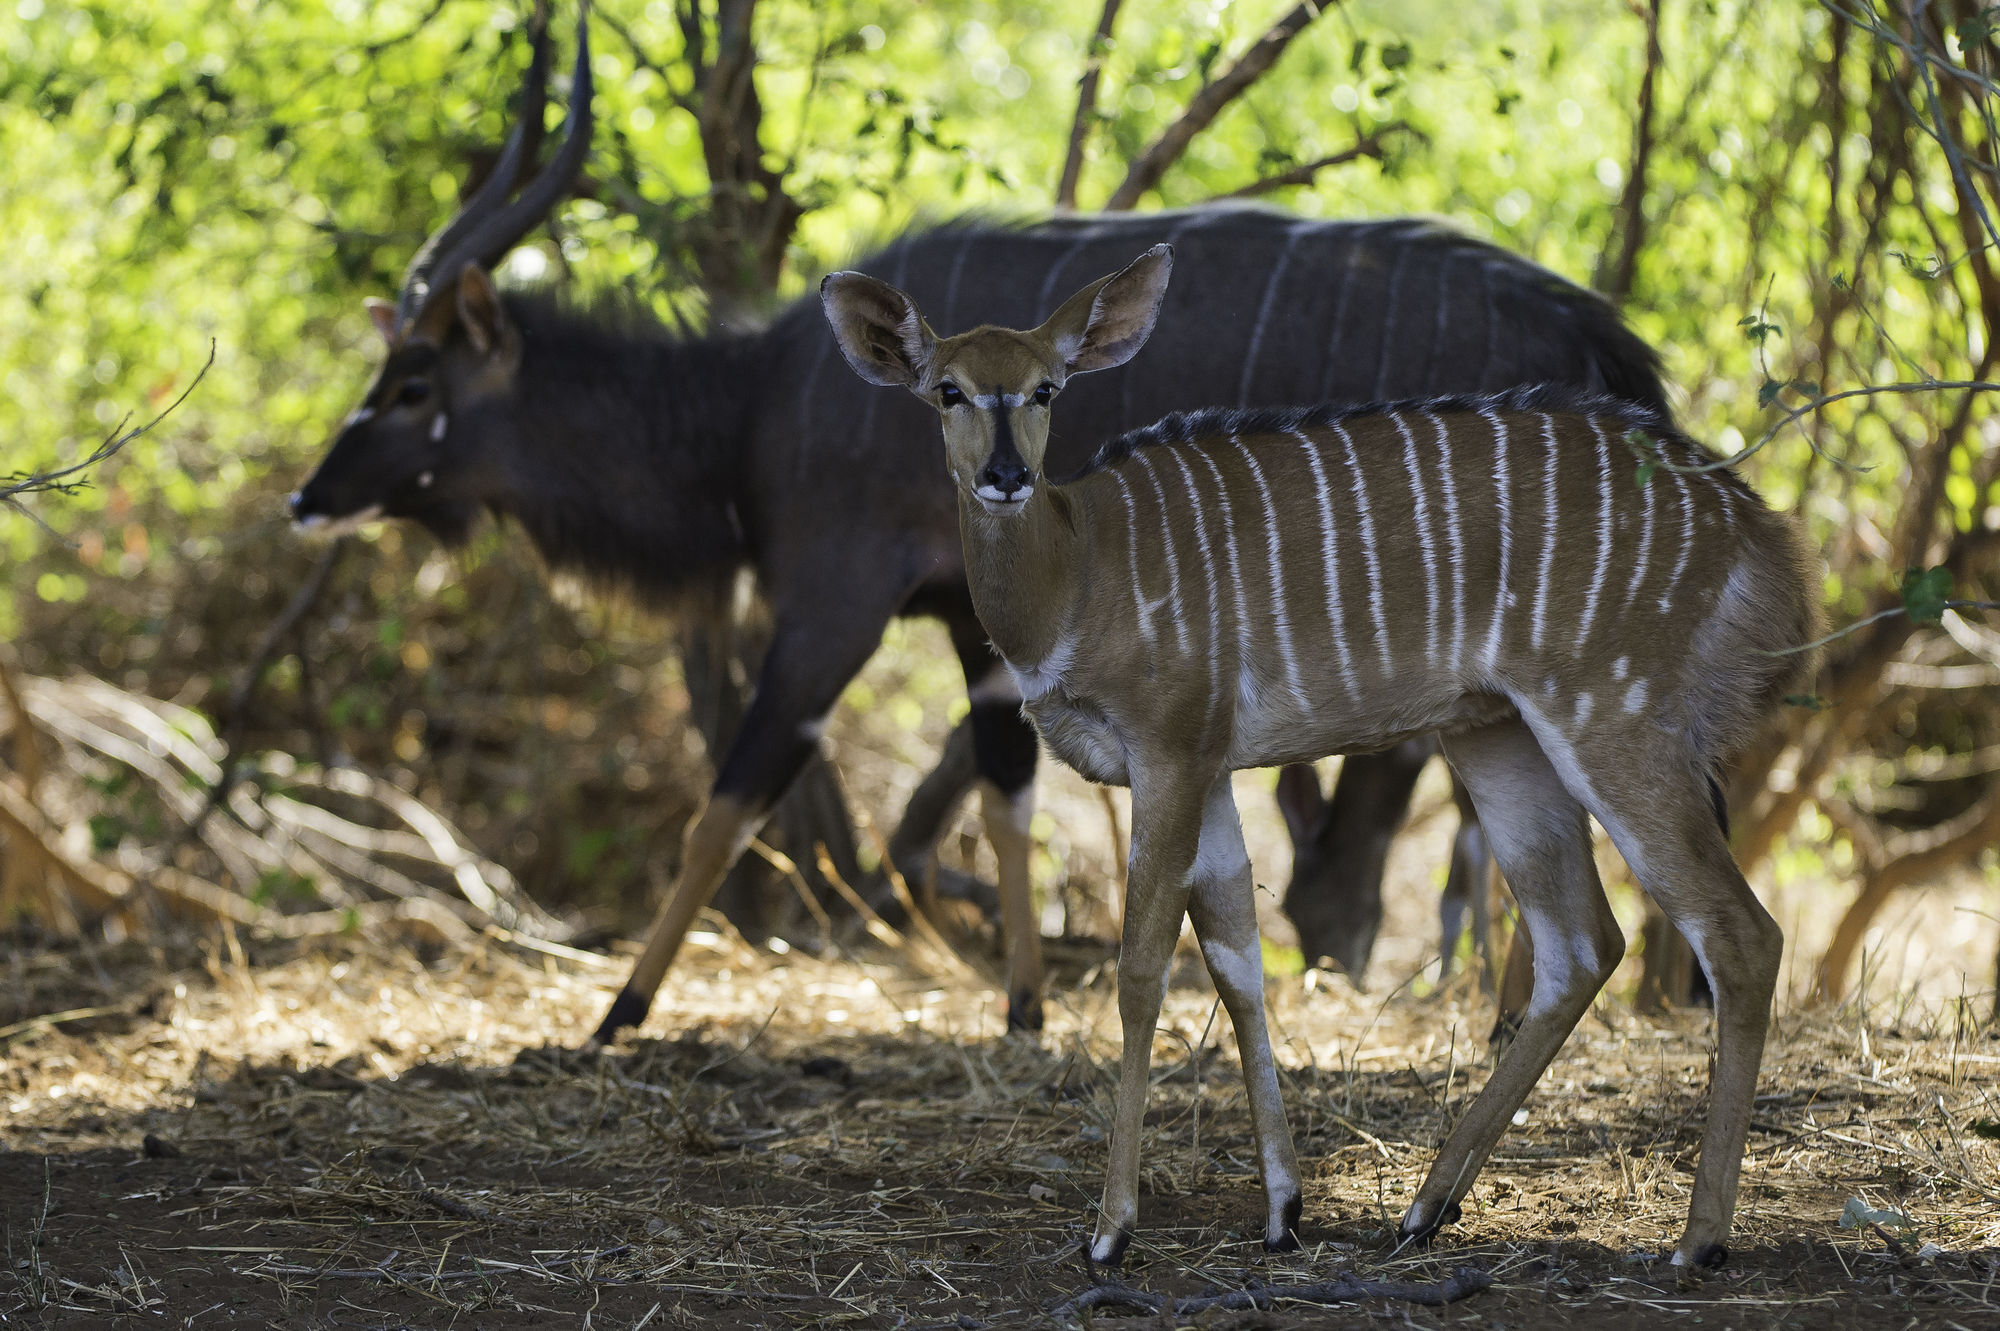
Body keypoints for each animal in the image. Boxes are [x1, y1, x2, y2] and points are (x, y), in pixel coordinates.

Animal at [820, 245, 1824, 1263]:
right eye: (947, 389)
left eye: (1044, 388)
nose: (1005, 474)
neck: (1079, 569)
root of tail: (1763, 536)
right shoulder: (1213, 771)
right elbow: (1238, 963)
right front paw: (1282, 1210)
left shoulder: (1170, 747)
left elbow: (1142, 970)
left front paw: (1112, 1227)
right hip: (1498, 734)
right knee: (1583, 942)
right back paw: (1425, 1208)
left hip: (1614, 717)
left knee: (1739, 933)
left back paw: (1697, 1240)